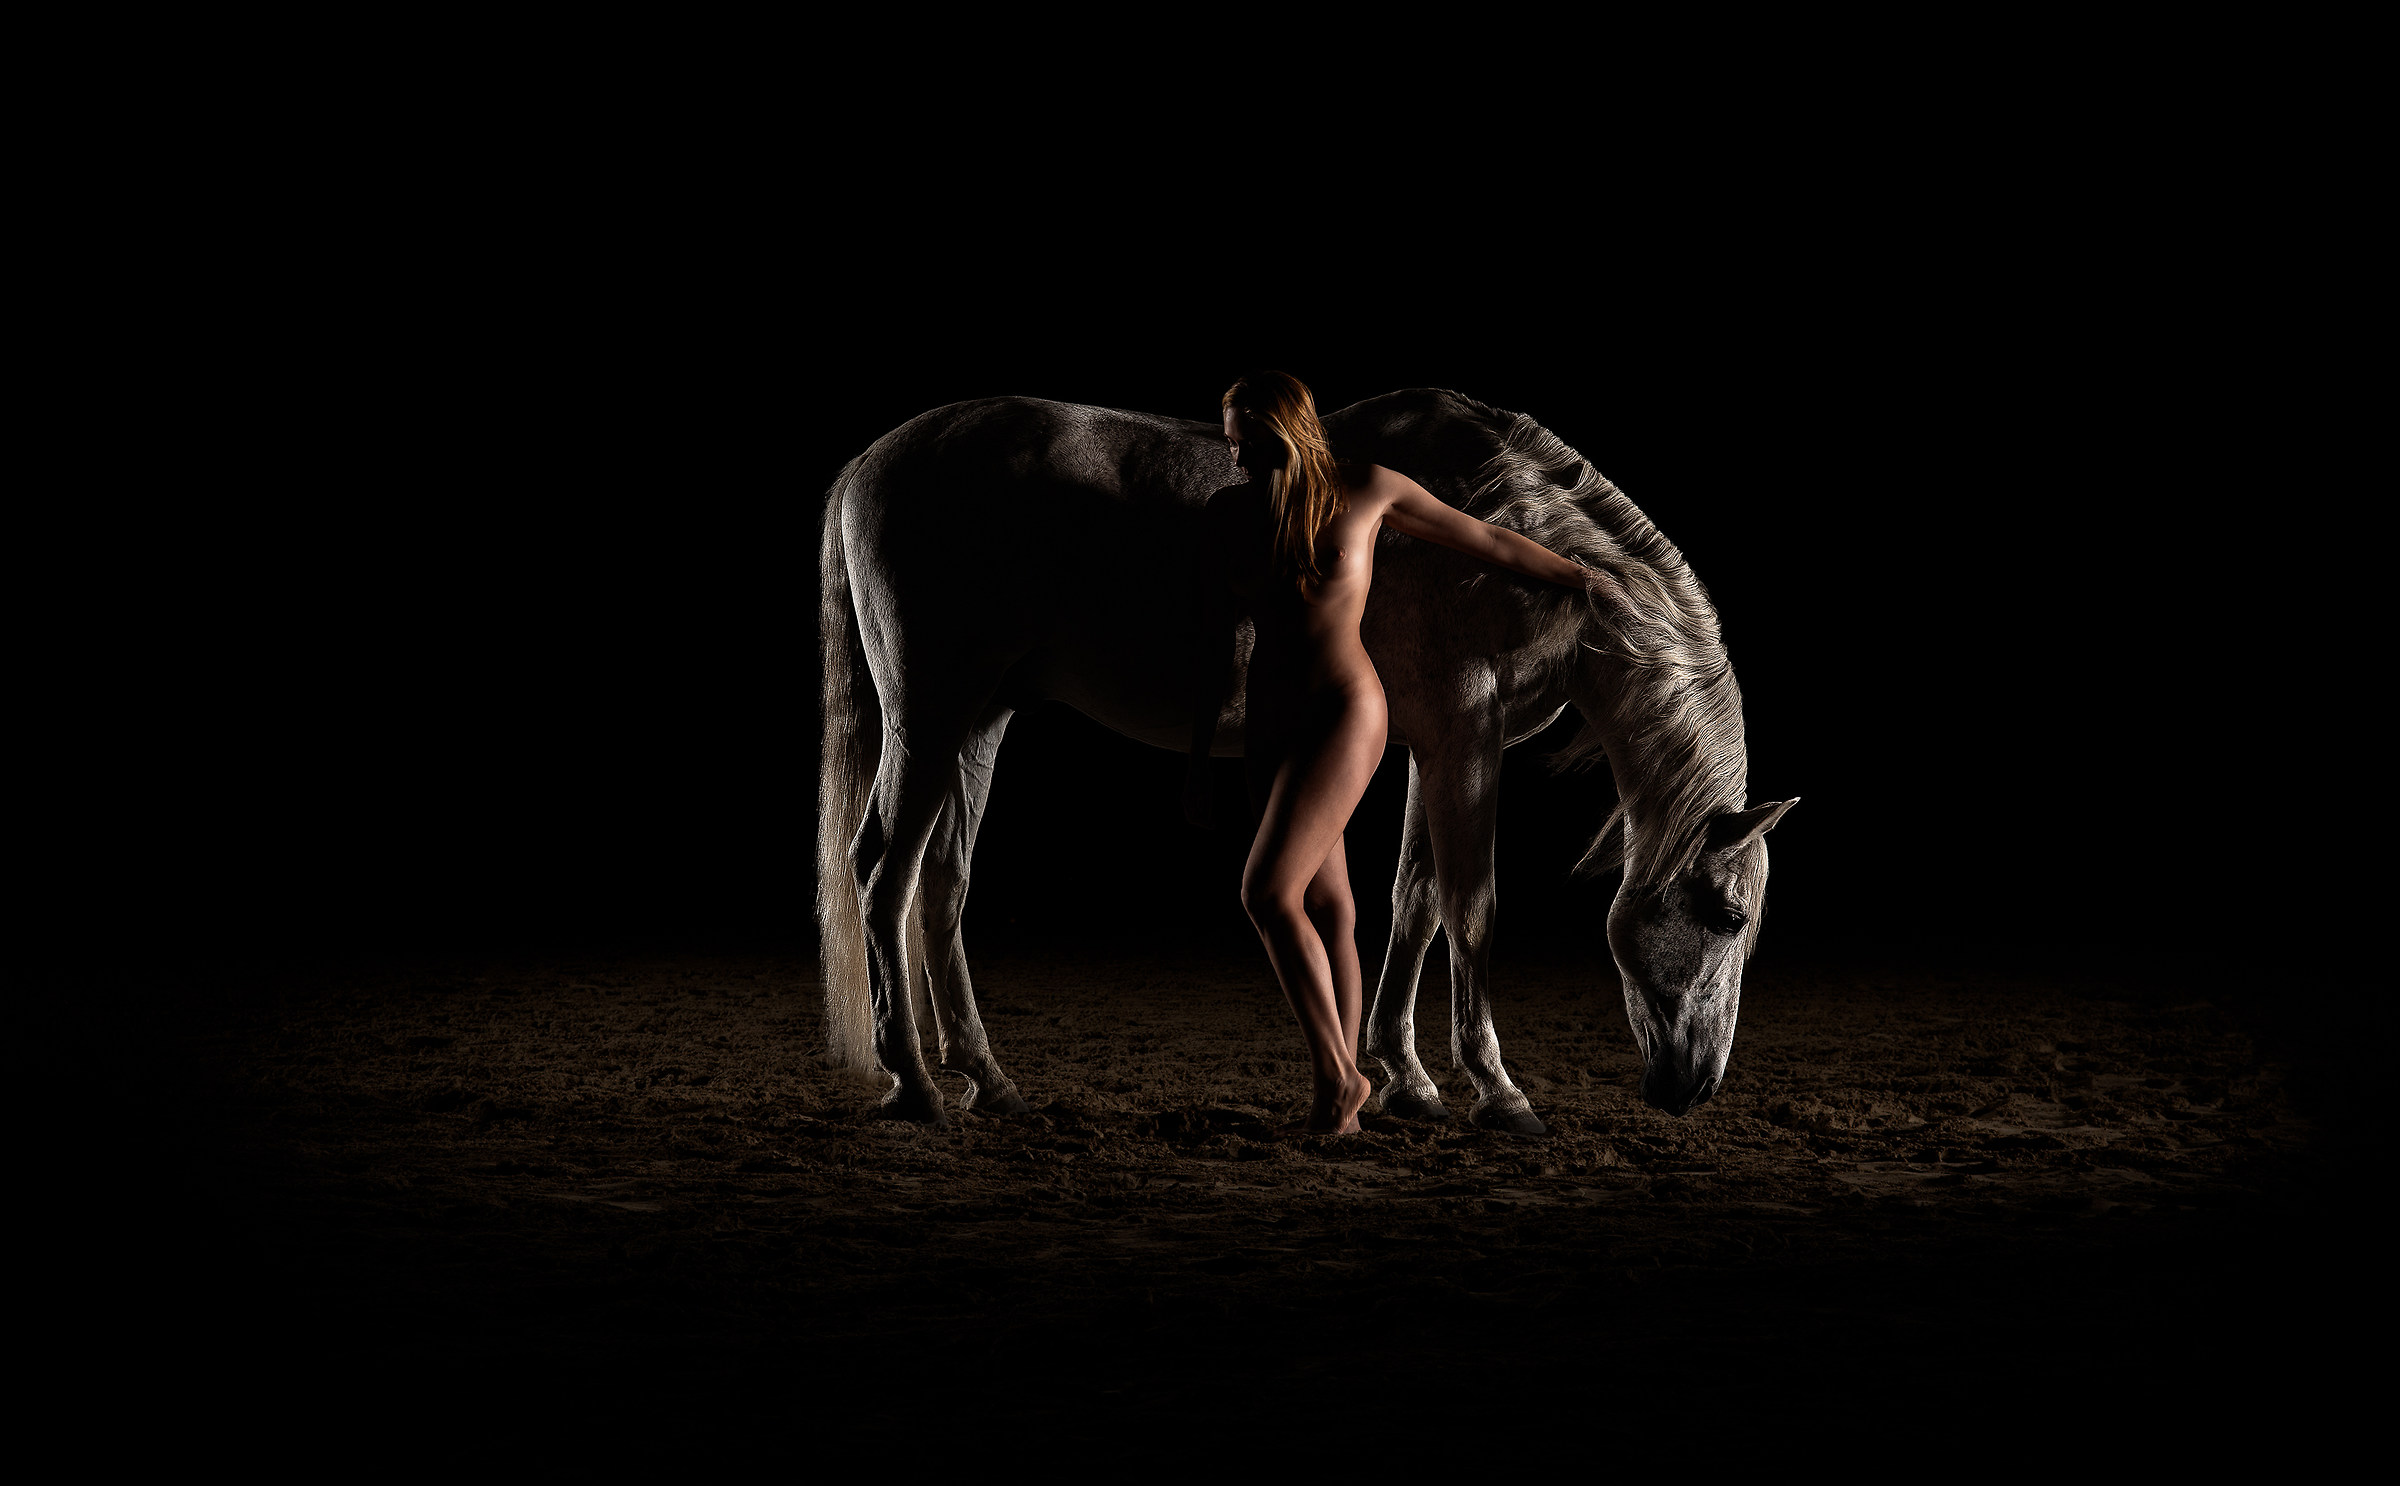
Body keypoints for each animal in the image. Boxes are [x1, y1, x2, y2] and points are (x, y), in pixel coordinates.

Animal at [818, 387, 1796, 1133]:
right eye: (1730, 916)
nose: (1695, 1085)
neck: (1502, 525)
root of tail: (864, 466)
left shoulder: (1433, 745)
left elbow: (1415, 903)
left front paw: (1406, 1076)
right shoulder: (1464, 738)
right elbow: (1472, 909)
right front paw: (1497, 1089)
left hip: (979, 722)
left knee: (943, 884)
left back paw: (987, 1080)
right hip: (928, 717)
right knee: (885, 875)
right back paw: (916, 1085)